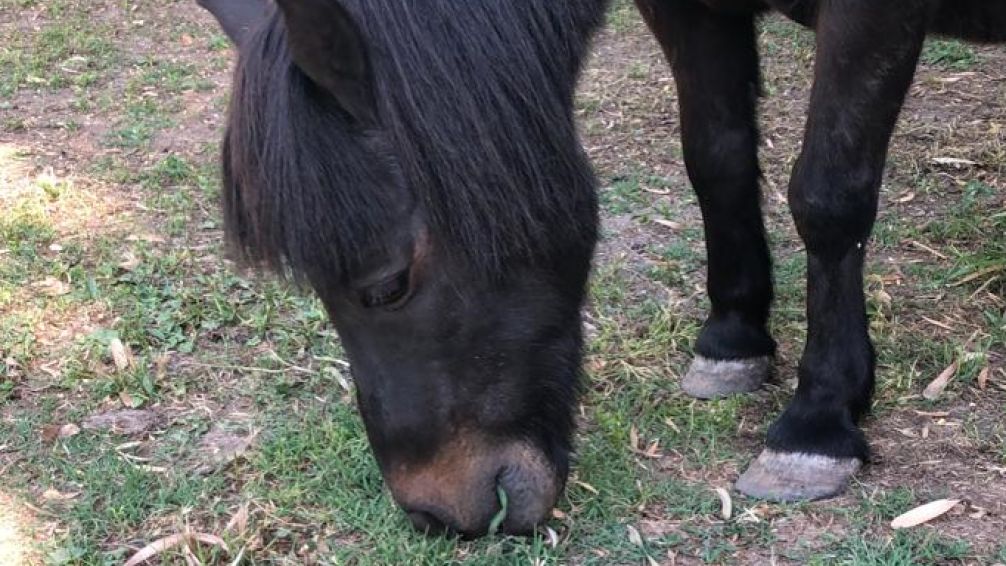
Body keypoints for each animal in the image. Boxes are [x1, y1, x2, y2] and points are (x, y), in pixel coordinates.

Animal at [196, 0, 1006, 538]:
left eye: (388, 286)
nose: (434, 512)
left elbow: (828, 199)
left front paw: (818, 420)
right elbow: (715, 153)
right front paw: (733, 337)